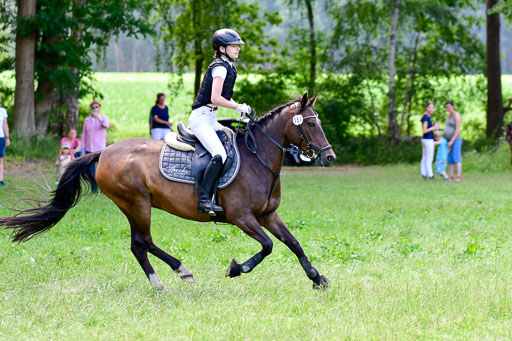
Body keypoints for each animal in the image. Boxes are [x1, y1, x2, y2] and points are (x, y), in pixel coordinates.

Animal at [1, 93, 336, 290]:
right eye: (310, 124)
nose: (330, 156)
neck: (258, 158)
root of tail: (104, 153)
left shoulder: (268, 215)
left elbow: (294, 244)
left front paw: (317, 278)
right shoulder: (241, 217)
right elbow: (267, 246)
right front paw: (236, 269)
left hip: (134, 205)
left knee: (139, 245)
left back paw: (164, 280)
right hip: (136, 202)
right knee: (142, 242)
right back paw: (176, 273)